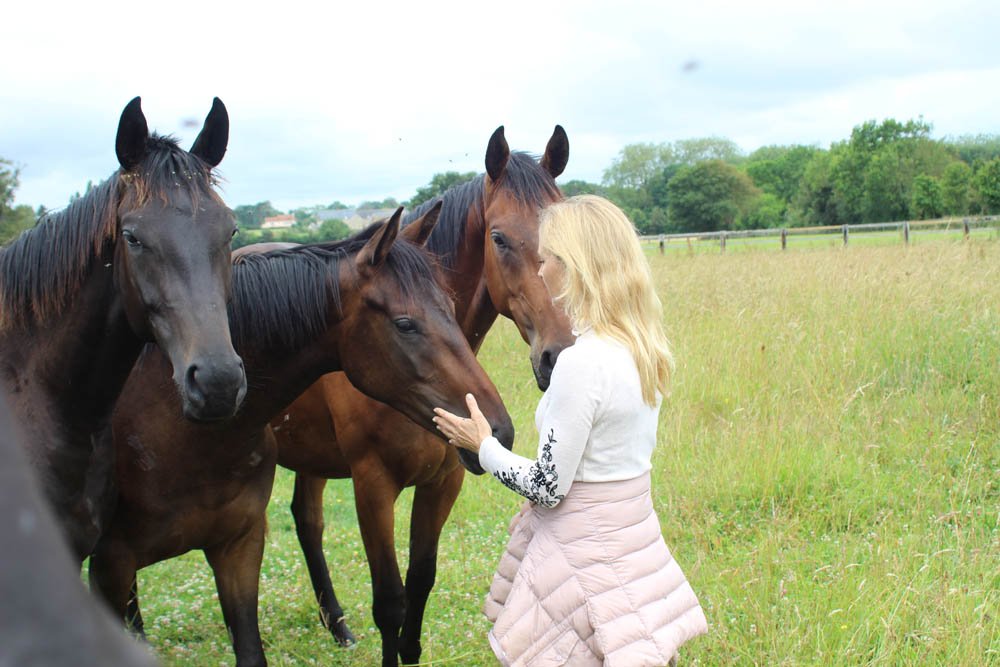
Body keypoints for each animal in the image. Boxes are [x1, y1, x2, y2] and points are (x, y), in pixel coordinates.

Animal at [270, 125, 573, 666]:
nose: (556, 355)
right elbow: (390, 601)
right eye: (499, 238)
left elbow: (420, 586)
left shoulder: (443, 481)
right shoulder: (372, 486)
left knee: (307, 520)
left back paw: (338, 628)